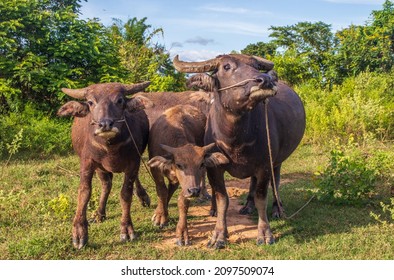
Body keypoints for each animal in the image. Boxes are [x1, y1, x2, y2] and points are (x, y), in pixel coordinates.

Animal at [57, 81, 152, 249]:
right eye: (90, 102)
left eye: (120, 100)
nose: (105, 124)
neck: (110, 147)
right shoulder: (87, 163)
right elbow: (84, 192)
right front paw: (79, 232)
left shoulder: (133, 162)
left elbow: (125, 193)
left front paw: (126, 228)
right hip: (100, 168)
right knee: (106, 184)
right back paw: (99, 213)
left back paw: (142, 196)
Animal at [148, 104, 228, 245]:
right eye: (179, 165)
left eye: (201, 164)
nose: (194, 191)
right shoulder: (156, 171)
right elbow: (162, 191)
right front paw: (160, 215)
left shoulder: (187, 185)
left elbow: (183, 202)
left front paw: (181, 232)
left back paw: (212, 205)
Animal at [174, 53, 306, 248]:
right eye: (226, 67)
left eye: (255, 66)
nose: (265, 80)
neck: (235, 139)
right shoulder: (214, 168)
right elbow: (223, 200)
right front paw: (219, 236)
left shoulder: (264, 166)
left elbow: (261, 197)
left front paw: (265, 233)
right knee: (252, 182)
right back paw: (248, 206)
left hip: (277, 160)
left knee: (275, 182)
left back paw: (277, 209)